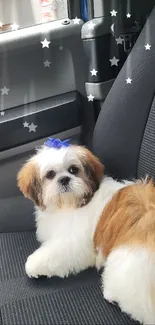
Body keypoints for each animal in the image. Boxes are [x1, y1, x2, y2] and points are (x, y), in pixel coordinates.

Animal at [17, 137, 155, 324]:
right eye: (50, 174)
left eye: (73, 170)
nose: (64, 179)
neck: (70, 204)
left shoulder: (75, 243)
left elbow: (58, 252)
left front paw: (33, 264)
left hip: (131, 261)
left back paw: (112, 294)